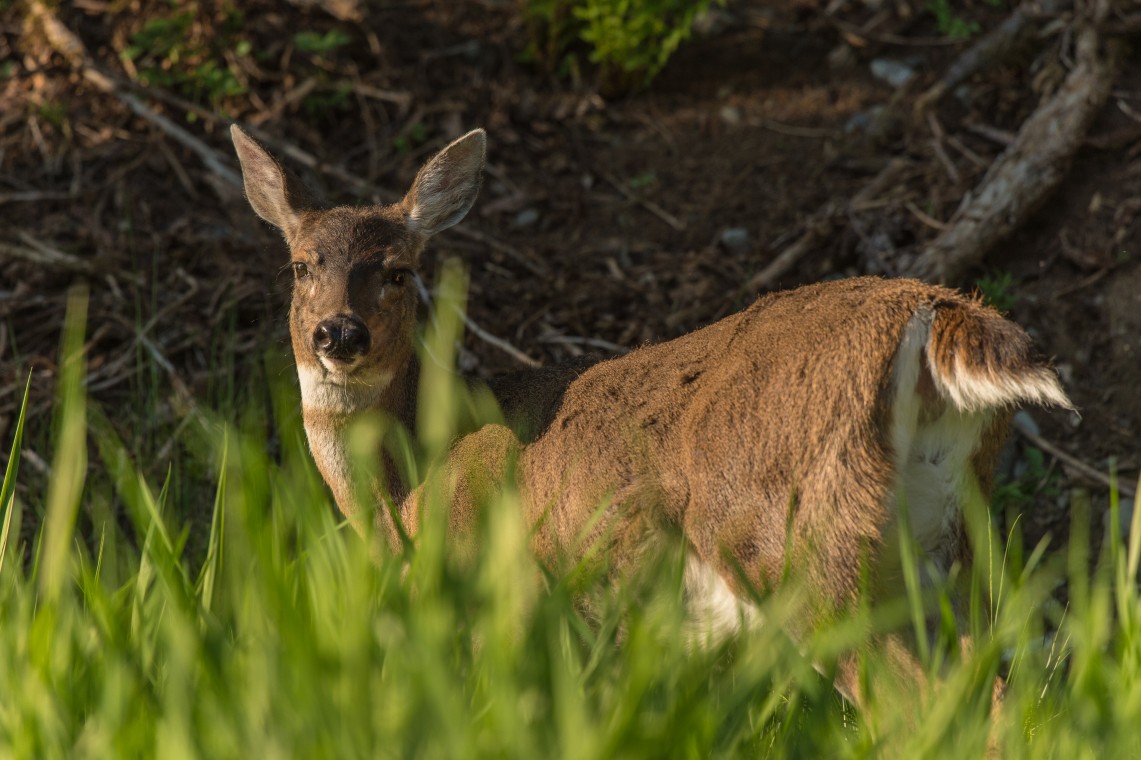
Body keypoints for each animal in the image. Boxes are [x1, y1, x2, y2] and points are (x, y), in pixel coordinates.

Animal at [229, 122, 1067, 712]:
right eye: (301, 265)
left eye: (401, 272)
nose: (338, 334)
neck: (404, 491)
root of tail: (930, 312)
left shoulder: (499, 588)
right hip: (951, 542)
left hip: (793, 536)